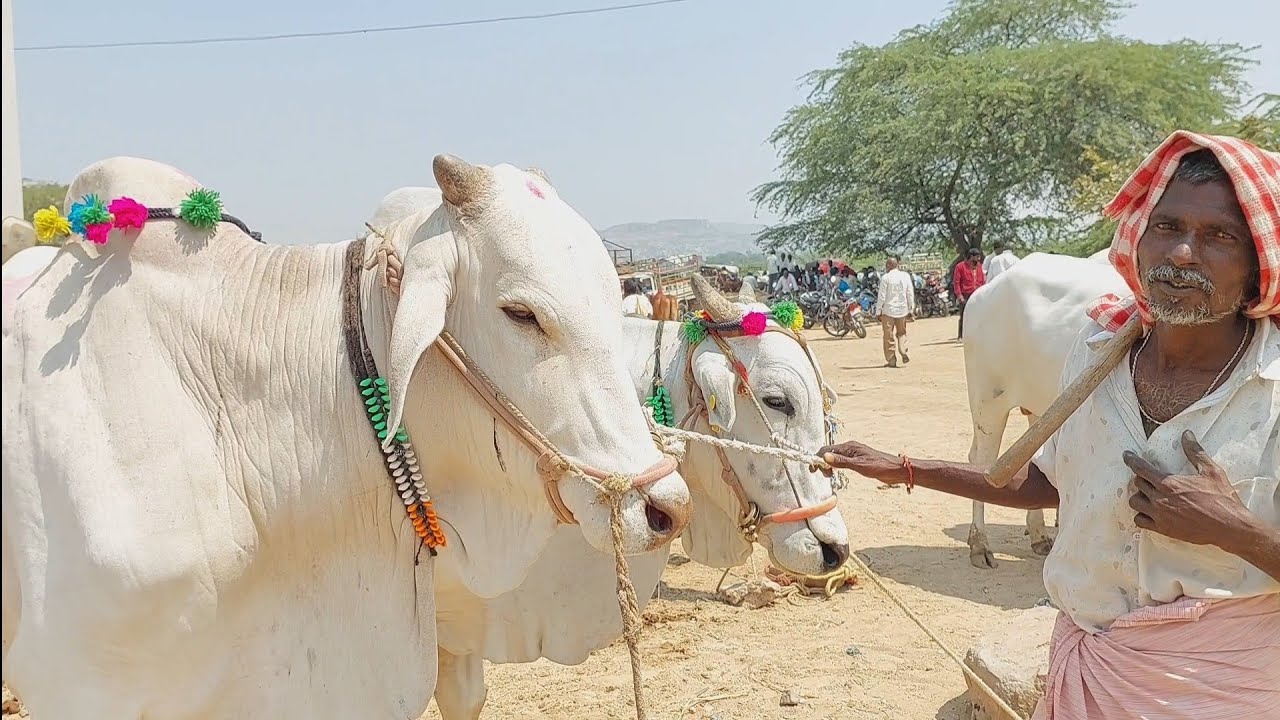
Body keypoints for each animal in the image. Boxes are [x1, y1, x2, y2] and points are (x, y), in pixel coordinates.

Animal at [961, 251, 1128, 568]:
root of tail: (986, 290)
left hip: (1040, 409)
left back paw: (1038, 534)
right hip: (988, 399)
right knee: (982, 461)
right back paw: (979, 544)